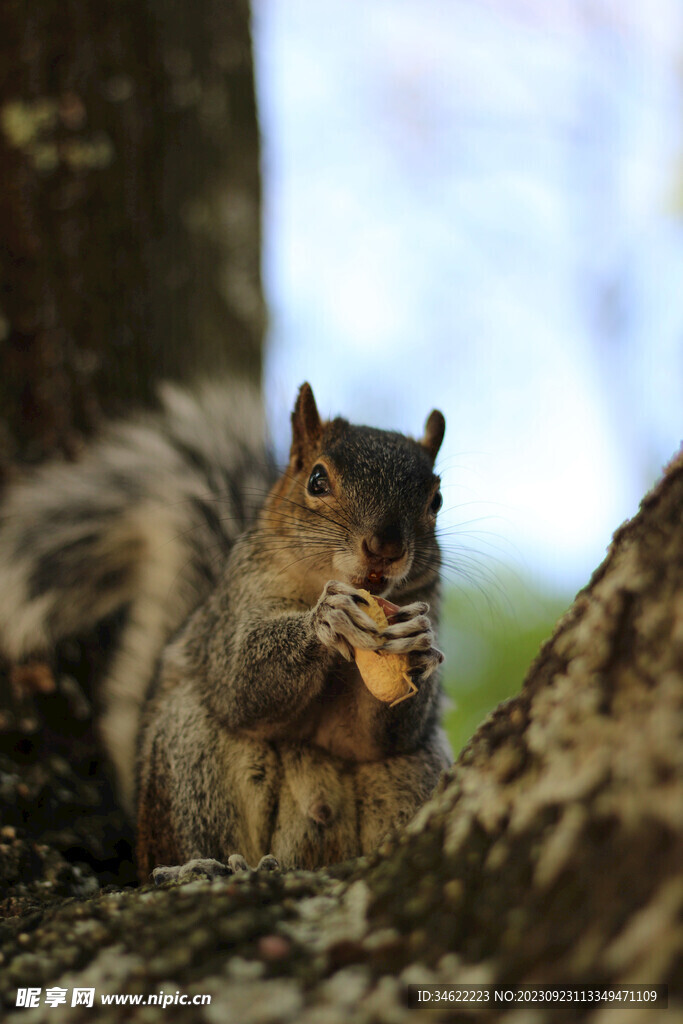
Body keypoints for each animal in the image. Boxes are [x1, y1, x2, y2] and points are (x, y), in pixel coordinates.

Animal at [0, 380, 454, 876]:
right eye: (316, 480)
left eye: (436, 500)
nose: (384, 547)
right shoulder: (230, 611)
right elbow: (241, 680)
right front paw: (327, 617)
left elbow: (373, 738)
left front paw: (418, 646)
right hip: (189, 754)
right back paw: (206, 867)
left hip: (415, 769)